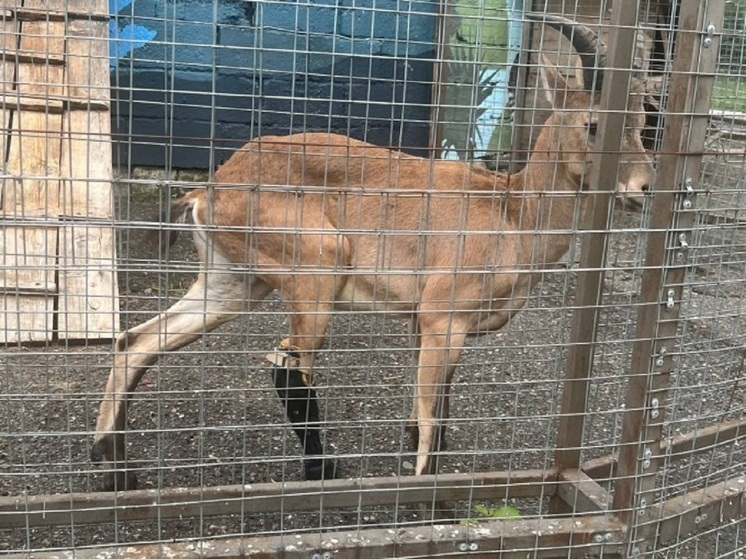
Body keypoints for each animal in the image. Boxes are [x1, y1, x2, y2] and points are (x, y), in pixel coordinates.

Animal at [91, 23, 652, 490]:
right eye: (594, 124)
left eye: (643, 121)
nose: (642, 189)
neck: (514, 213)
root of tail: (211, 189)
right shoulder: (442, 317)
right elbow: (428, 412)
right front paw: (422, 489)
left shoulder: (434, 326)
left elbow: (438, 406)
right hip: (317, 268)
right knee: (288, 362)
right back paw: (321, 470)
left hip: (234, 282)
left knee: (137, 341)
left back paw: (113, 466)